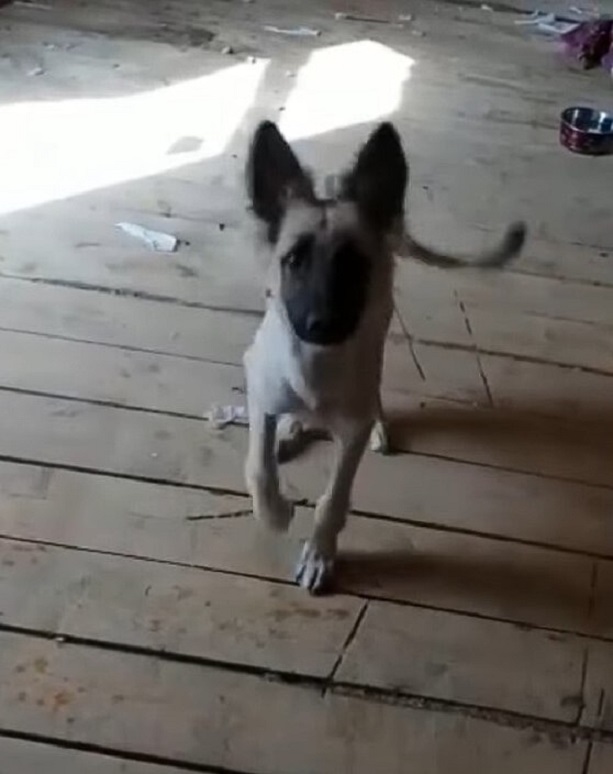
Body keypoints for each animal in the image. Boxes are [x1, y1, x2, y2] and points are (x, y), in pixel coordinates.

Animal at [241, 119, 524, 596]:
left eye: (353, 263)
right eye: (294, 259)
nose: (321, 325)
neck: (316, 368)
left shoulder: (350, 429)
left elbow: (334, 500)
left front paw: (320, 554)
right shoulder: (259, 385)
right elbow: (259, 468)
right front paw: (276, 513)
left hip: (381, 325)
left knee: (374, 390)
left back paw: (375, 424)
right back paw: (293, 426)